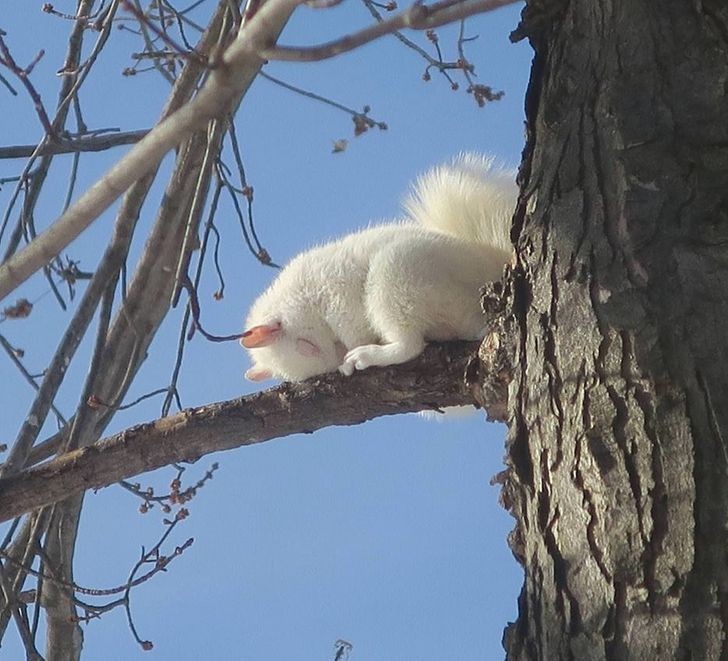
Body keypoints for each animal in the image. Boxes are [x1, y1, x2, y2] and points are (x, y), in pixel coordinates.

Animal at [242, 153, 516, 382]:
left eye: (307, 345)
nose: (338, 360)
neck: (299, 296)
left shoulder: (335, 293)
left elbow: (351, 326)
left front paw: (350, 356)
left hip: (397, 276)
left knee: (409, 345)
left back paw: (367, 354)